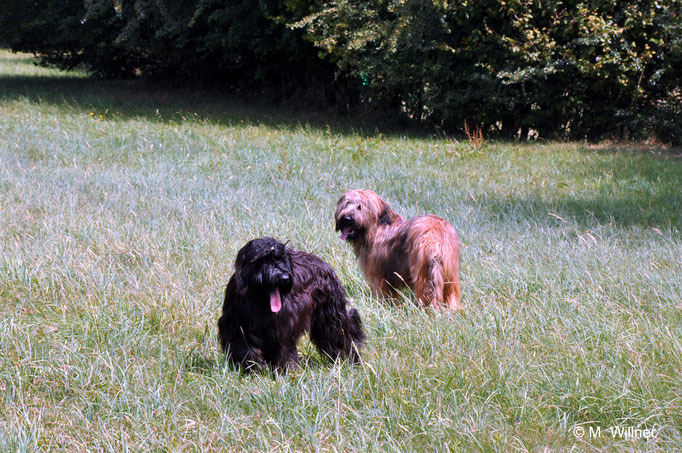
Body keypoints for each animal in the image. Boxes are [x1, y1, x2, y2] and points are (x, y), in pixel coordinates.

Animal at [220, 237, 364, 370]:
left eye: (283, 259)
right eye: (265, 259)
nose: (284, 278)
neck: (259, 300)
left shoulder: (282, 326)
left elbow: (282, 347)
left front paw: (283, 370)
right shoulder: (233, 323)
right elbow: (241, 346)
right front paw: (254, 366)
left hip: (330, 316)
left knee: (339, 337)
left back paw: (349, 361)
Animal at [332, 188, 460, 310]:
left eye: (360, 207)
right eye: (347, 203)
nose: (347, 218)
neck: (376, 228)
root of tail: (435, 236)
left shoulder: (381, 275)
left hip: (424, 274)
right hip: (449, 275)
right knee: (451, 294)